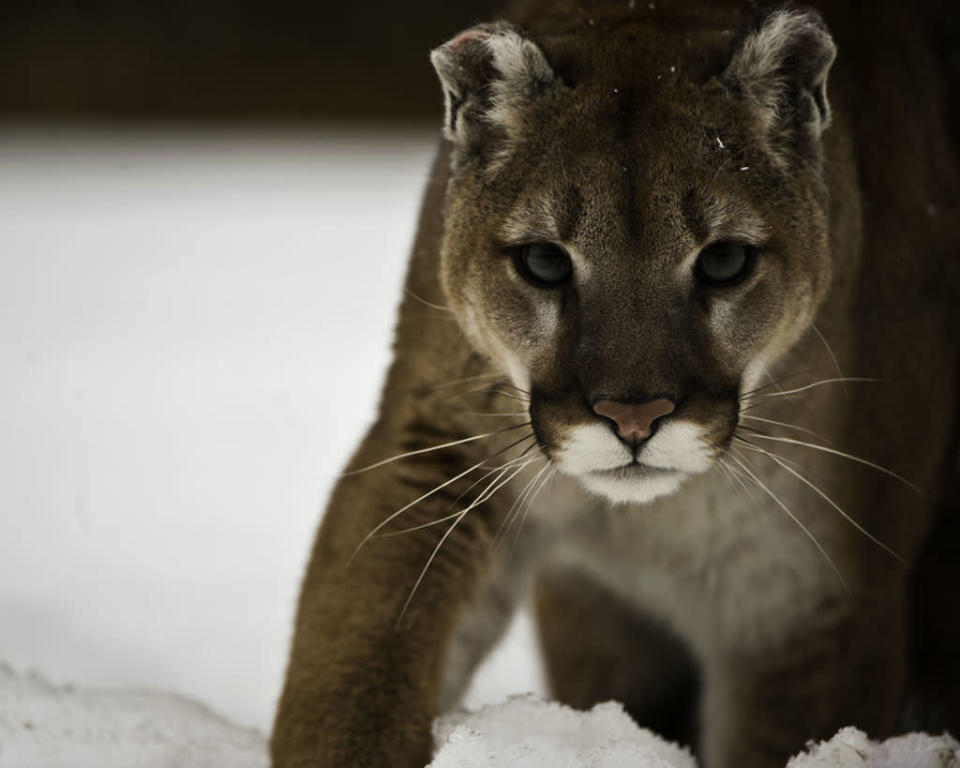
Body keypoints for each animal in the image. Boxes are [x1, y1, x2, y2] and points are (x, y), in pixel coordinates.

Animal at [270, 0, 960, 764]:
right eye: (544, 261)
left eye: (724, 261)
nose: (634, 418)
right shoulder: (435, 453)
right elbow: (356, 675)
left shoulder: (810, 598)